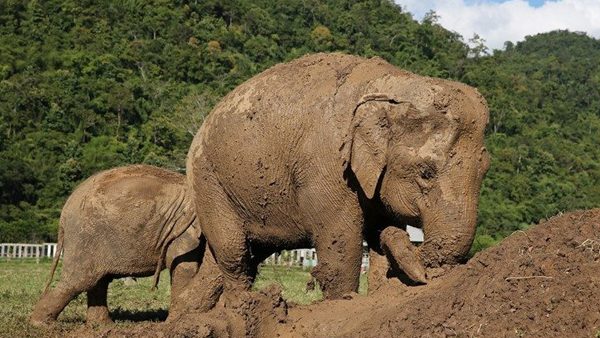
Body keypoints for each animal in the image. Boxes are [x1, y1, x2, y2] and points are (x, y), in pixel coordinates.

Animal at [30, 165, 204, 326]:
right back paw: (41, 324)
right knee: (79, 281)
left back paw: (102, 326)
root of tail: (66, 209)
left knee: (98, 281)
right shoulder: (184, 229)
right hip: (83, 236)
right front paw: (179, 322)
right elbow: (185, 267)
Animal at [189, 52, 492, 302]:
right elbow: (340, 248)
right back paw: (240, 307)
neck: (392, 82)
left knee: (231, 261)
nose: (427, 278)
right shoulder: (327, 163)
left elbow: (380, 230)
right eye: (426, 172)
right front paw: (343, 301)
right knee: (234, 252)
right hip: (208, 181)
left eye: (485, 169)